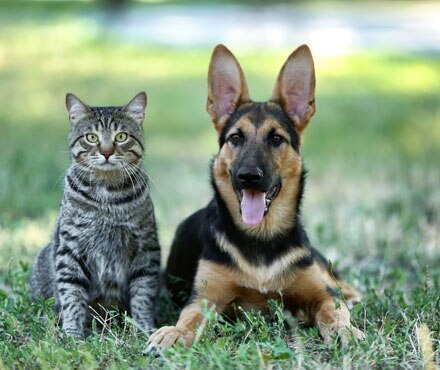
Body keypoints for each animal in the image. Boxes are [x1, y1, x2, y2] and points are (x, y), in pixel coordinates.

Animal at [30, 91, 162, 336]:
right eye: (91, 137)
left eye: (121, 136)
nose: (107, 152)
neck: (107, 197)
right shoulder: (70, 248)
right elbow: (72, 294)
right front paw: (72, 334)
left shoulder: (146, 247)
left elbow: (142, 293)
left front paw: (145, 328)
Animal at [148, 44, 364, 348]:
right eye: (236, 138)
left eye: (276, 139)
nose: (249, 176)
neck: (261, 237)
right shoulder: (204, 299)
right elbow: (189, 318)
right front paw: (175, 332)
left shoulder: (320, 294)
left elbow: (333, 311)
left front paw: (346, 331)